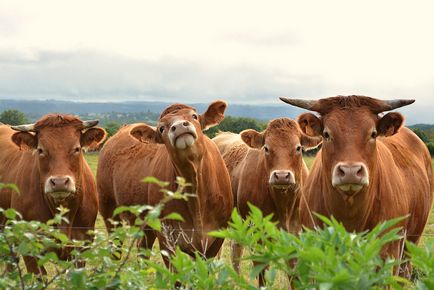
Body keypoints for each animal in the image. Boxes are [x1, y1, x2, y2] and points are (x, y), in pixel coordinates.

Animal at [97, 101, 234, 264]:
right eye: (162, 128)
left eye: (194, 116)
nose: (180, 126)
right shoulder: (166, 238)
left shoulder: (215, 241)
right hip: (109, 209)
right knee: (115, 248)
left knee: (143, 250)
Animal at [214, 118, 322, 286]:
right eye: (266, 148)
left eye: (298, 148)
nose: (282, 176)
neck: (284, 205)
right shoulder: (257, 232)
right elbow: (262, 271)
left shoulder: (296, 233)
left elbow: (294, 273)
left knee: (235, 250)